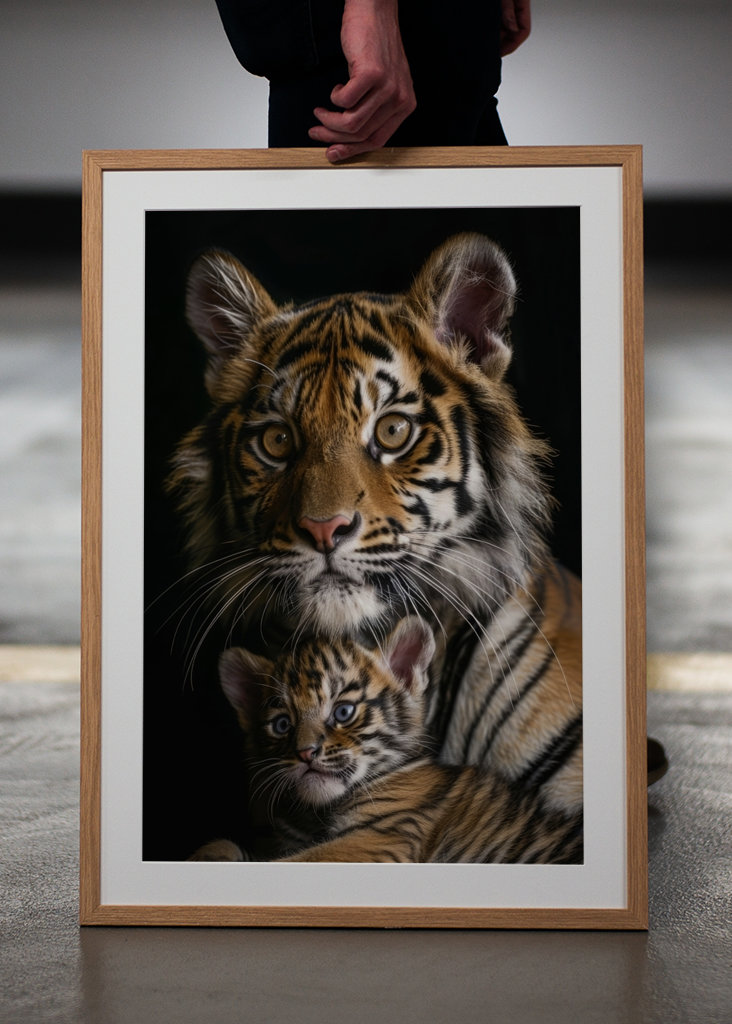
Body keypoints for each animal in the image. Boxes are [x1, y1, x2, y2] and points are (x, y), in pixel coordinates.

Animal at [189, 617, 582, 864]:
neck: (316, 814)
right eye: (282, 724)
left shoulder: (380, 838)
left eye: (343, 712)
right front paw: (209, 853)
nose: (305, 753)